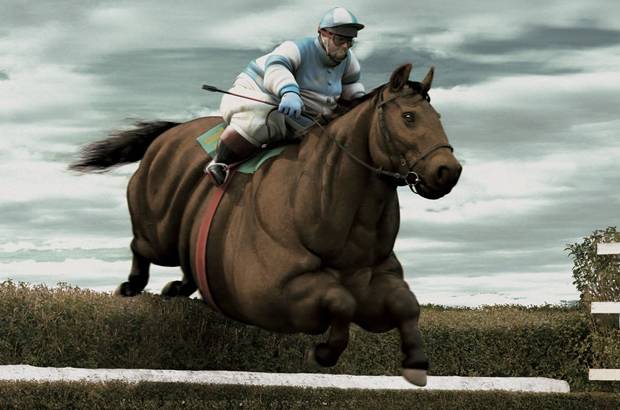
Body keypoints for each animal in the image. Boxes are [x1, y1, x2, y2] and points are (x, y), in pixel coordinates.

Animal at [71, 64, 460, 384]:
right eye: (409, 116)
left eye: (438, 115)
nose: (449, 171)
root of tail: (170, 132)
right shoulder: (271, 295)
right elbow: (340, 300)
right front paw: (324, 351)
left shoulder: (376, 278)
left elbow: (406, 305)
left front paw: (416, 362)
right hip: (158, 230)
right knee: (140, 245)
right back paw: (131, 285)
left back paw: (178, 287)